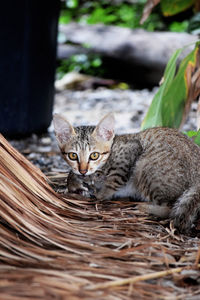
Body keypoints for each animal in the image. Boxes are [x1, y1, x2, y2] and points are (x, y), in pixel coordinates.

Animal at [53, 113, 200, 233]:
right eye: (73, 155)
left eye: (94, 155)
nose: (83, 171)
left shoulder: (129, 152)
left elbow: (114, 180)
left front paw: (101, 193)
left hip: (144, 167)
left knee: (169, 208)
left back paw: (144, 207)